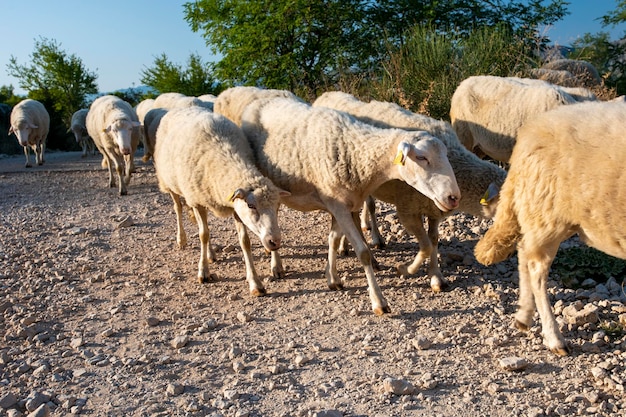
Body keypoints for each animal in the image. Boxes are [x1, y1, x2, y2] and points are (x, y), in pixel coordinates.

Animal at [154, 105, 288, 294]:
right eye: (251, 205)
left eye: (277, 207)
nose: (274, 241)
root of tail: (183, 107)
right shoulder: (196, 201)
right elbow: (203, 235)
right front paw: (203, 272)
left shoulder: (235, 207)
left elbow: (244, 242)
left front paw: (256, 282)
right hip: (170, 183)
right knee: (178, 208)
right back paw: (182, 239)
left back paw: (210, 253)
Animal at [239, 96, 458, 314]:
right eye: (421, 157)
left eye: (446, 155)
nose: (453, 197)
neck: (355, 150)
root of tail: (260, 100)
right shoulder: (339, 206)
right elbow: (363, 253)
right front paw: (379, 301)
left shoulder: (342, 205)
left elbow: (334, 239)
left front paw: (333, 278)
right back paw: (275, 265)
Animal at [310, 91, 504, 290]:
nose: (453, 198)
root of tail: (327, 95)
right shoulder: (408, 210)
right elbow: (425, 246)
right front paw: (405, 269)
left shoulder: (434, 209)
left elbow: (433, 239)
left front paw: (436, 276)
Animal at [472, 100, 624, 354]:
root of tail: (533, 128)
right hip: (547, 211)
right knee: (536, 269)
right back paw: (554, 338)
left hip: (543, 212)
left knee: (524, 251)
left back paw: (523, 317)